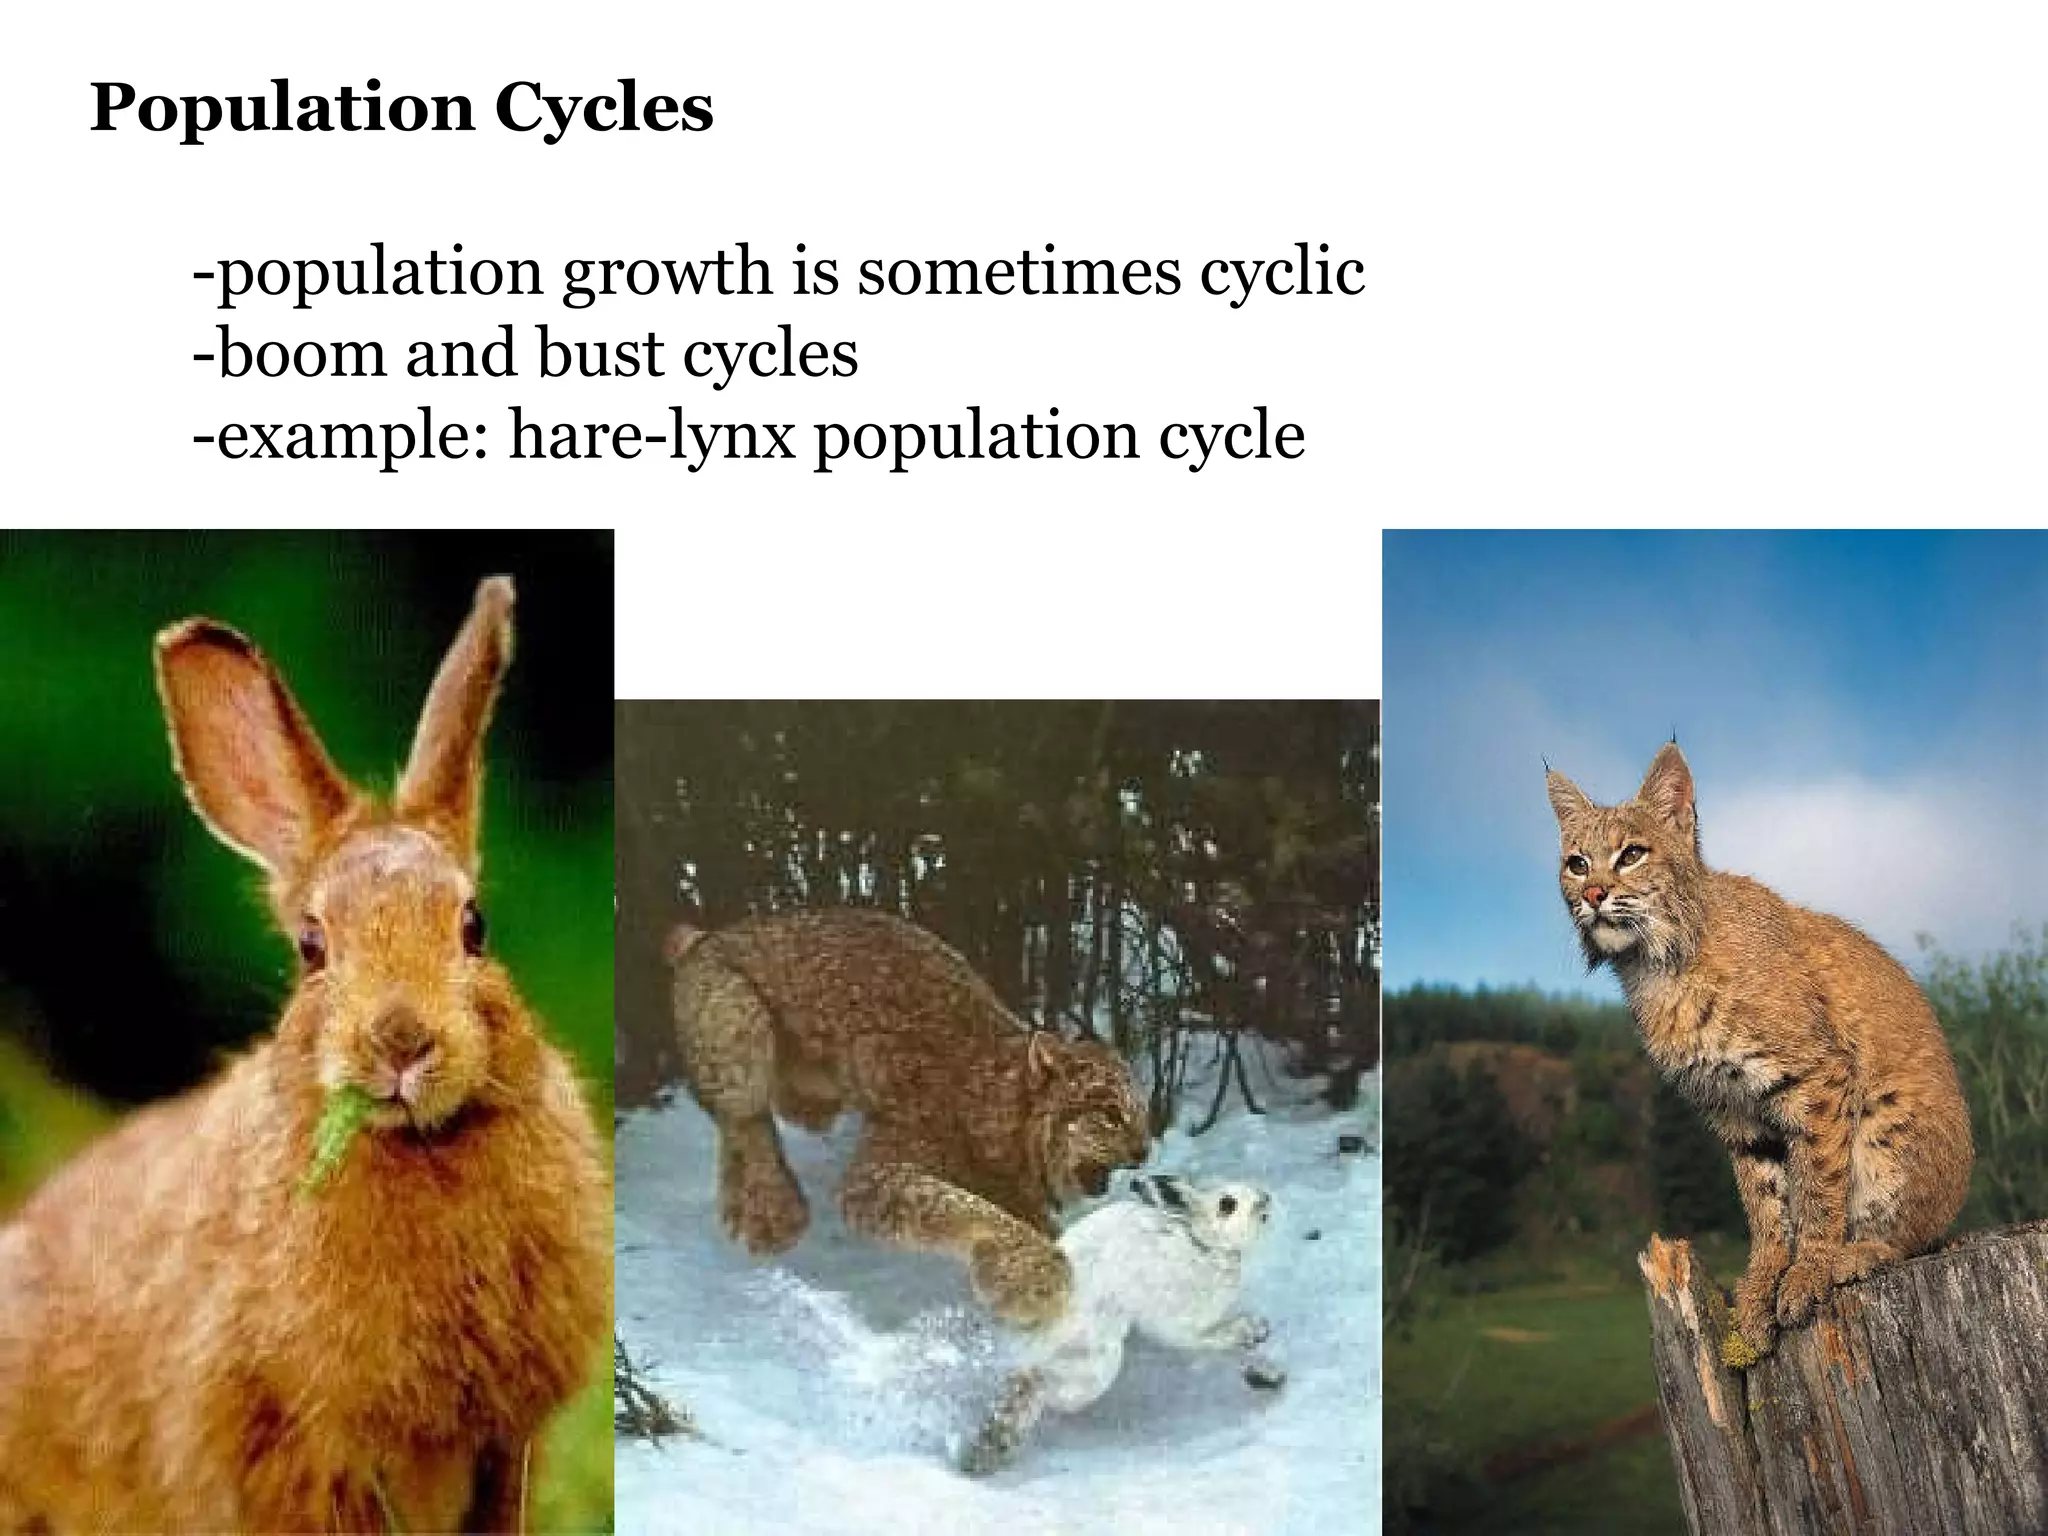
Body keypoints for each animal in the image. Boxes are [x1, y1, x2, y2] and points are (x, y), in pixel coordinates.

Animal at [0, 577, 610, 1534]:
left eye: (474, 926)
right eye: (312, 948)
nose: (402, 1041)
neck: (419, 1145)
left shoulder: (502, 1445)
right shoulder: (293, 1453)